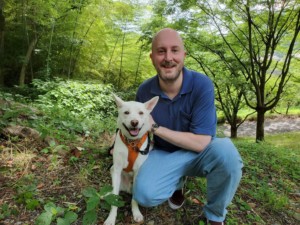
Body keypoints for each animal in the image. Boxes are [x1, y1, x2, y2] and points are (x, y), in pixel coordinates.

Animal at [103, 94, 159, 224]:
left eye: (141, 113)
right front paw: (111, 218)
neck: (132, 143)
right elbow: (114, 198)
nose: (134, 122)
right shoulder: (117, 170)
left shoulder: (138, 171)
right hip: (114, 174)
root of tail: (127, 187)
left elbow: (134, 199)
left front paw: (136, 212)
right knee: (114, 190)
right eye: (126, 112)